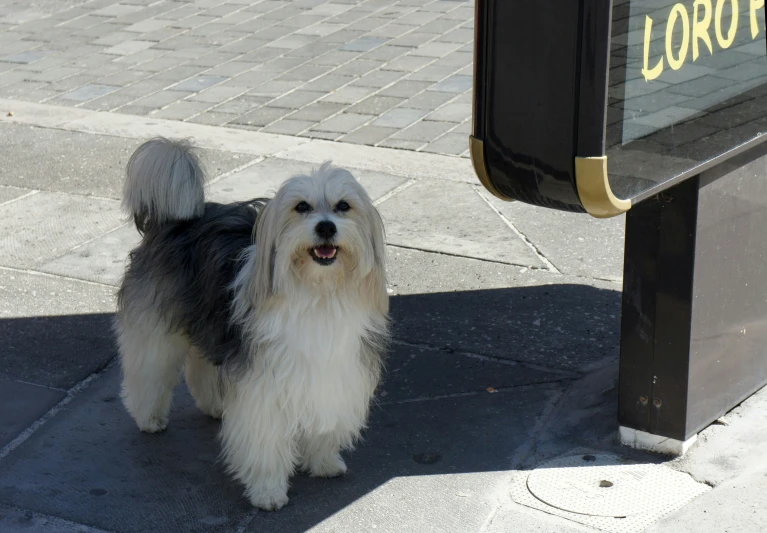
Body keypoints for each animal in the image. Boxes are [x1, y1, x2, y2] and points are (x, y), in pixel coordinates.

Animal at [114, 138, 390, 512]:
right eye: (301, 207)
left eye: (343, 206)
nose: (326, 227)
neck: (317, 291)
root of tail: (177, 219)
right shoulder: (263, 387)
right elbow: (265, 442)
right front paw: (268, 490)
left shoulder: (331, 373)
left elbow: (324, 420)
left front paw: (322, 461)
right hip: (156, 330)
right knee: (148, 372)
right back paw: (150, 418)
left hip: (212, 323)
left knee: (202, 365)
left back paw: (215, 405)